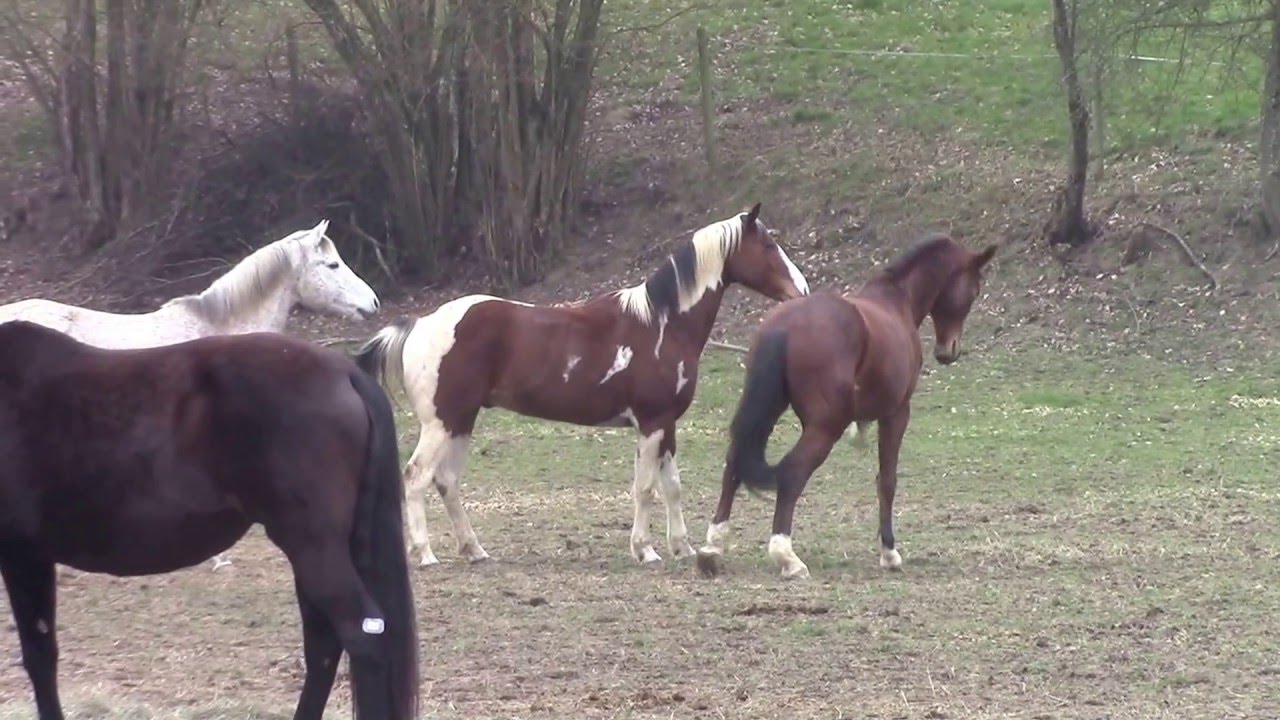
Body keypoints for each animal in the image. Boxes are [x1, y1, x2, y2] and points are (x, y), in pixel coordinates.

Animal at [0, 321, 419, 720]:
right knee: (324, 645)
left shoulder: (21, 556)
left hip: (314, 549)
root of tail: (343, 371)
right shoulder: (31, 557)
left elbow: (39, 656)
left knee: (361, 635)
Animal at [355, 203, 810, 567]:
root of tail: (419, 324)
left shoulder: (666, 424)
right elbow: (646, 488)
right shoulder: (651, 424)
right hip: (441, 423)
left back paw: (475, 550)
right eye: (768, 246)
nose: (802, 290)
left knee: (446, 481)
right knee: (416, 477)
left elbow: (672, 487)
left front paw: (682, 547)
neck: (661, 324)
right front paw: (645, 550)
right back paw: (425, 554)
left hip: (461, 422)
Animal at [695, 234, 996, 580]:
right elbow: (887, 481)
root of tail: (786, 324)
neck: (896, 302)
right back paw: (787, 556)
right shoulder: (896, 414)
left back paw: (713, 547)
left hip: (766, 410)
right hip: (826, 427)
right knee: (792, 472)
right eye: (974, 290)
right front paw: (889, 552)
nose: (949, 351)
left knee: (734, 464)